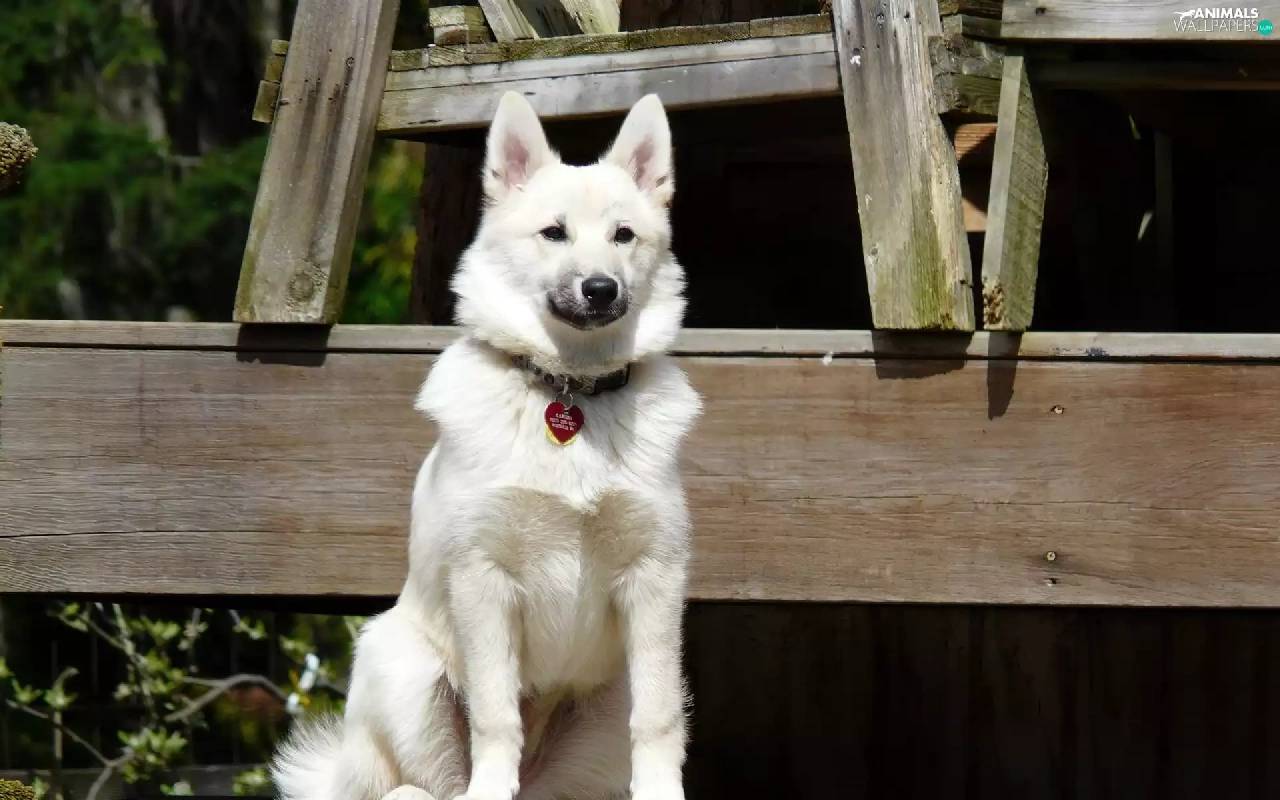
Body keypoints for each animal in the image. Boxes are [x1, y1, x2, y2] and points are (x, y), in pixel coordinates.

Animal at [270, 91, 702, 800]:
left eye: (624, 236)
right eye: (553, 233)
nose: (601, 289)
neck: (569, 390)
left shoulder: (654, 581)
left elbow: (659, 716)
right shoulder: (484, 582)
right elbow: (496, 716)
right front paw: (490, 786)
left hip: (601, 715)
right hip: (402, 666)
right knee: (418, 785)